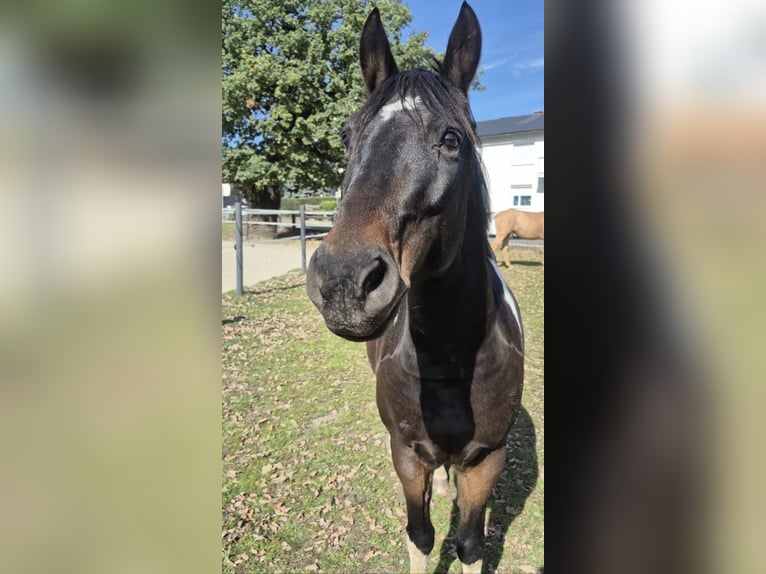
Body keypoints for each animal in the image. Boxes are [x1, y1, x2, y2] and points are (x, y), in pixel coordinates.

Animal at [306, 3, 524, 572]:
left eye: (451, 139)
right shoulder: (404, 453)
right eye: (346, 136)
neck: (450, 356)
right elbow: (421, 535)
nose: (344, 281)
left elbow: (469, 543)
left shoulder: (486, 462)